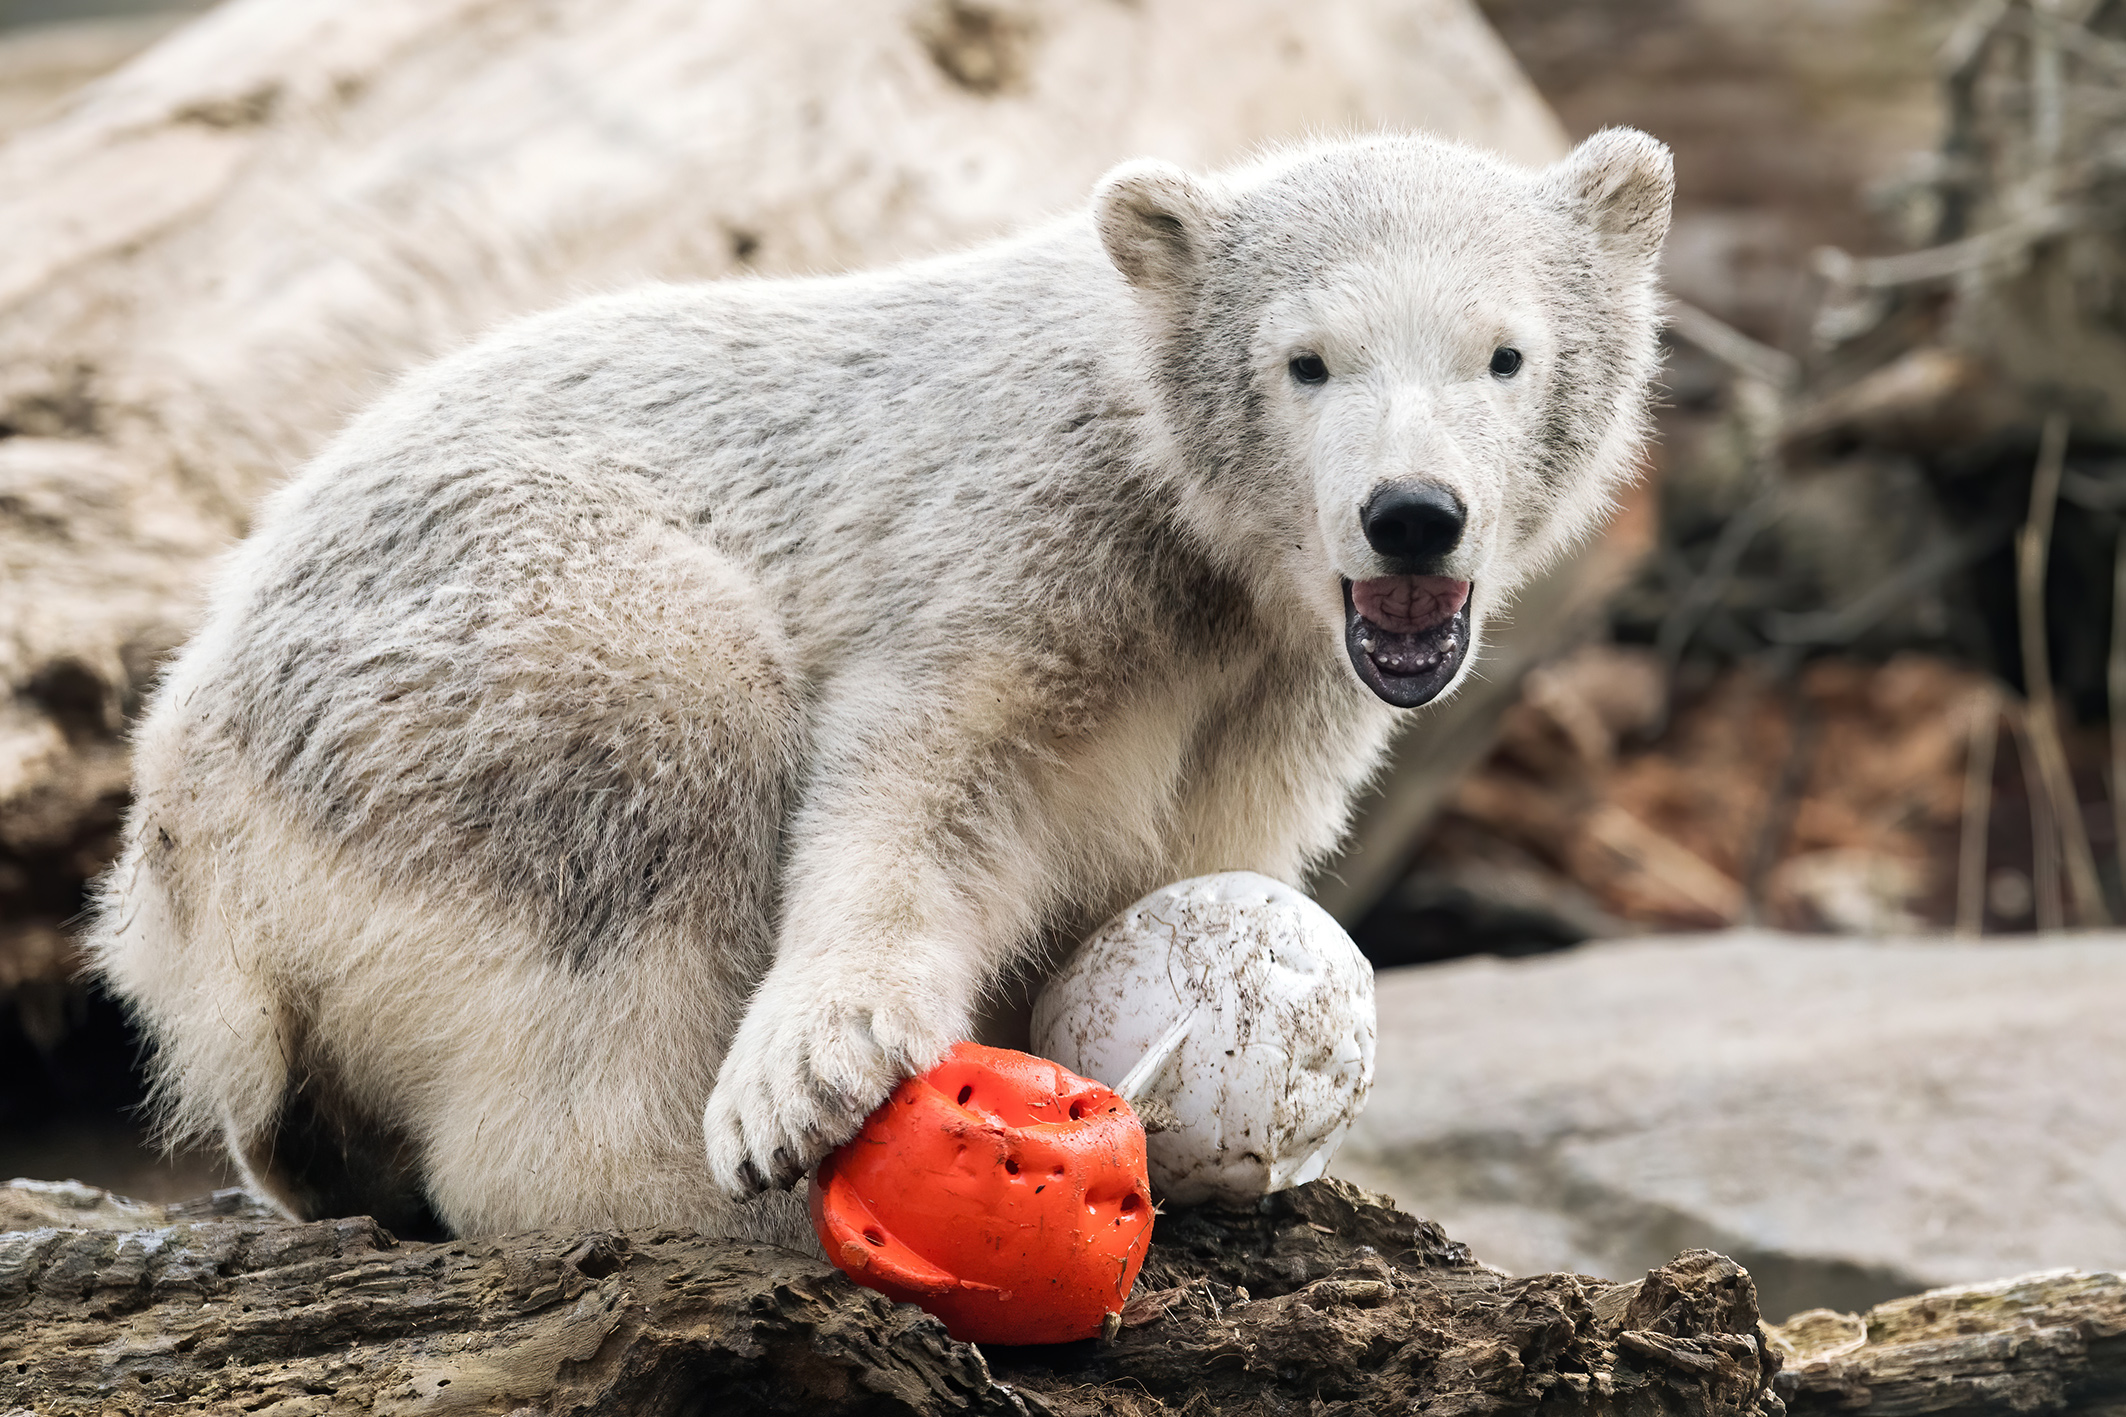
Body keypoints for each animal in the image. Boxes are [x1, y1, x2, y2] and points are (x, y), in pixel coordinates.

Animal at [87, 130, 1675, 1240]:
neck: (1199, 543)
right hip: (448, 650)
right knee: (667, 737)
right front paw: (812, 1075)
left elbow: (1184, 854)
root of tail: (175, 858)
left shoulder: (1279, 690)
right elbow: (930, 769)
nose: (1412, 515)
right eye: (1305, 362)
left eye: (1504, 354)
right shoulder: (1026, 526)